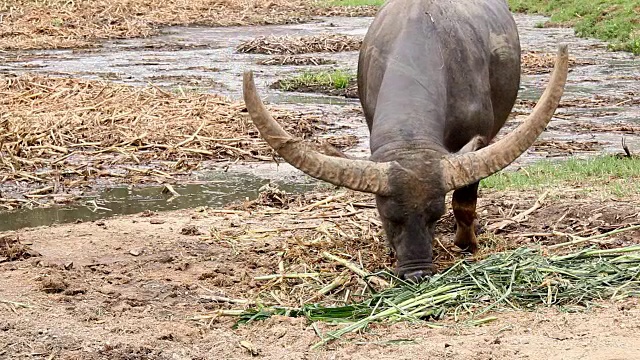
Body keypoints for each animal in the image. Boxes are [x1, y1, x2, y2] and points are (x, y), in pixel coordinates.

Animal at [242, 0, 568, 282]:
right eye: (388, 216)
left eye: (435, 215)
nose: (417, 272)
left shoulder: (480, 139)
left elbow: (464, 204)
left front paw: (467, 244)